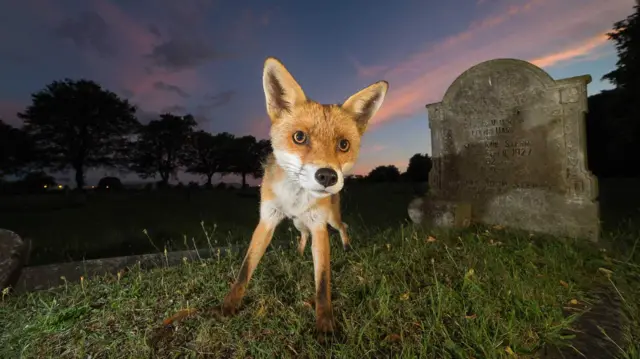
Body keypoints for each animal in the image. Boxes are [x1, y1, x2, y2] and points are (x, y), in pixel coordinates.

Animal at [222, 56, 388, 334]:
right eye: (299, 137)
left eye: (343, 145)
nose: (328, 177)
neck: (295, 198)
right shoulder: (267, 219)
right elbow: (245, 269)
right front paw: (229, 305)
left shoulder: (320, 225)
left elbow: (322, 283)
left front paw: (325, 324)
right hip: (299, 222)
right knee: (303, 234)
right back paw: (300, 253)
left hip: (330, 218)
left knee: (343, 226)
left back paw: (346, 246)